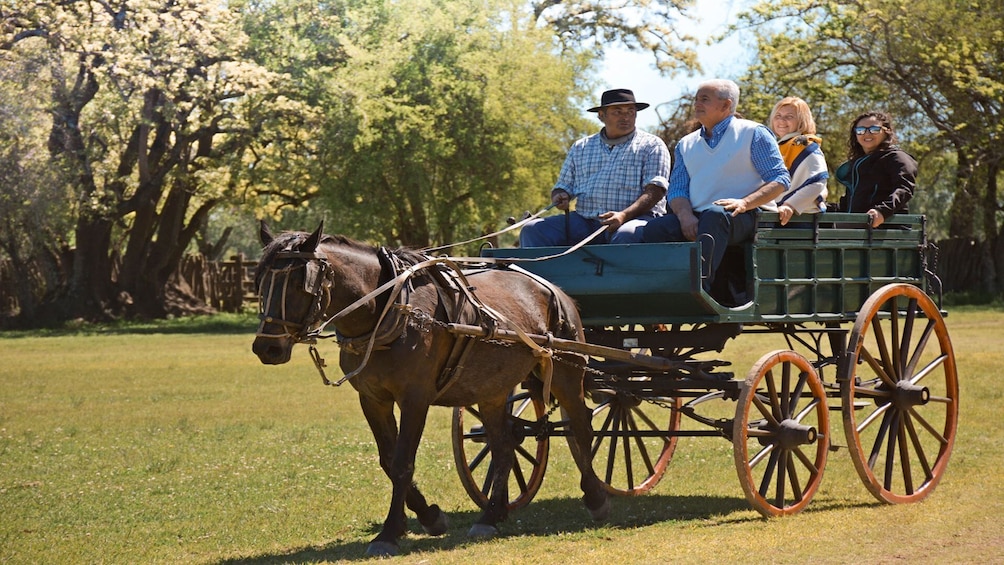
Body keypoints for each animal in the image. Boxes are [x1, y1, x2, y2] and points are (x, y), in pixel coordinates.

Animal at [250, 221, 610, 557]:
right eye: (261, 282)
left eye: (300, 283)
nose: (267, 348)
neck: (392, 310)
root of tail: (555, 289)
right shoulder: (372, 399)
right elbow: (388, 459)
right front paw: (429, 517)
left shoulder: (415, 398)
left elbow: (402, 462)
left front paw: (389, 533)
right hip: (493, 390)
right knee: (504, 446)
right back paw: (491, 515)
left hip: (566, 372)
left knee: (581, 427)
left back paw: (596, 498)